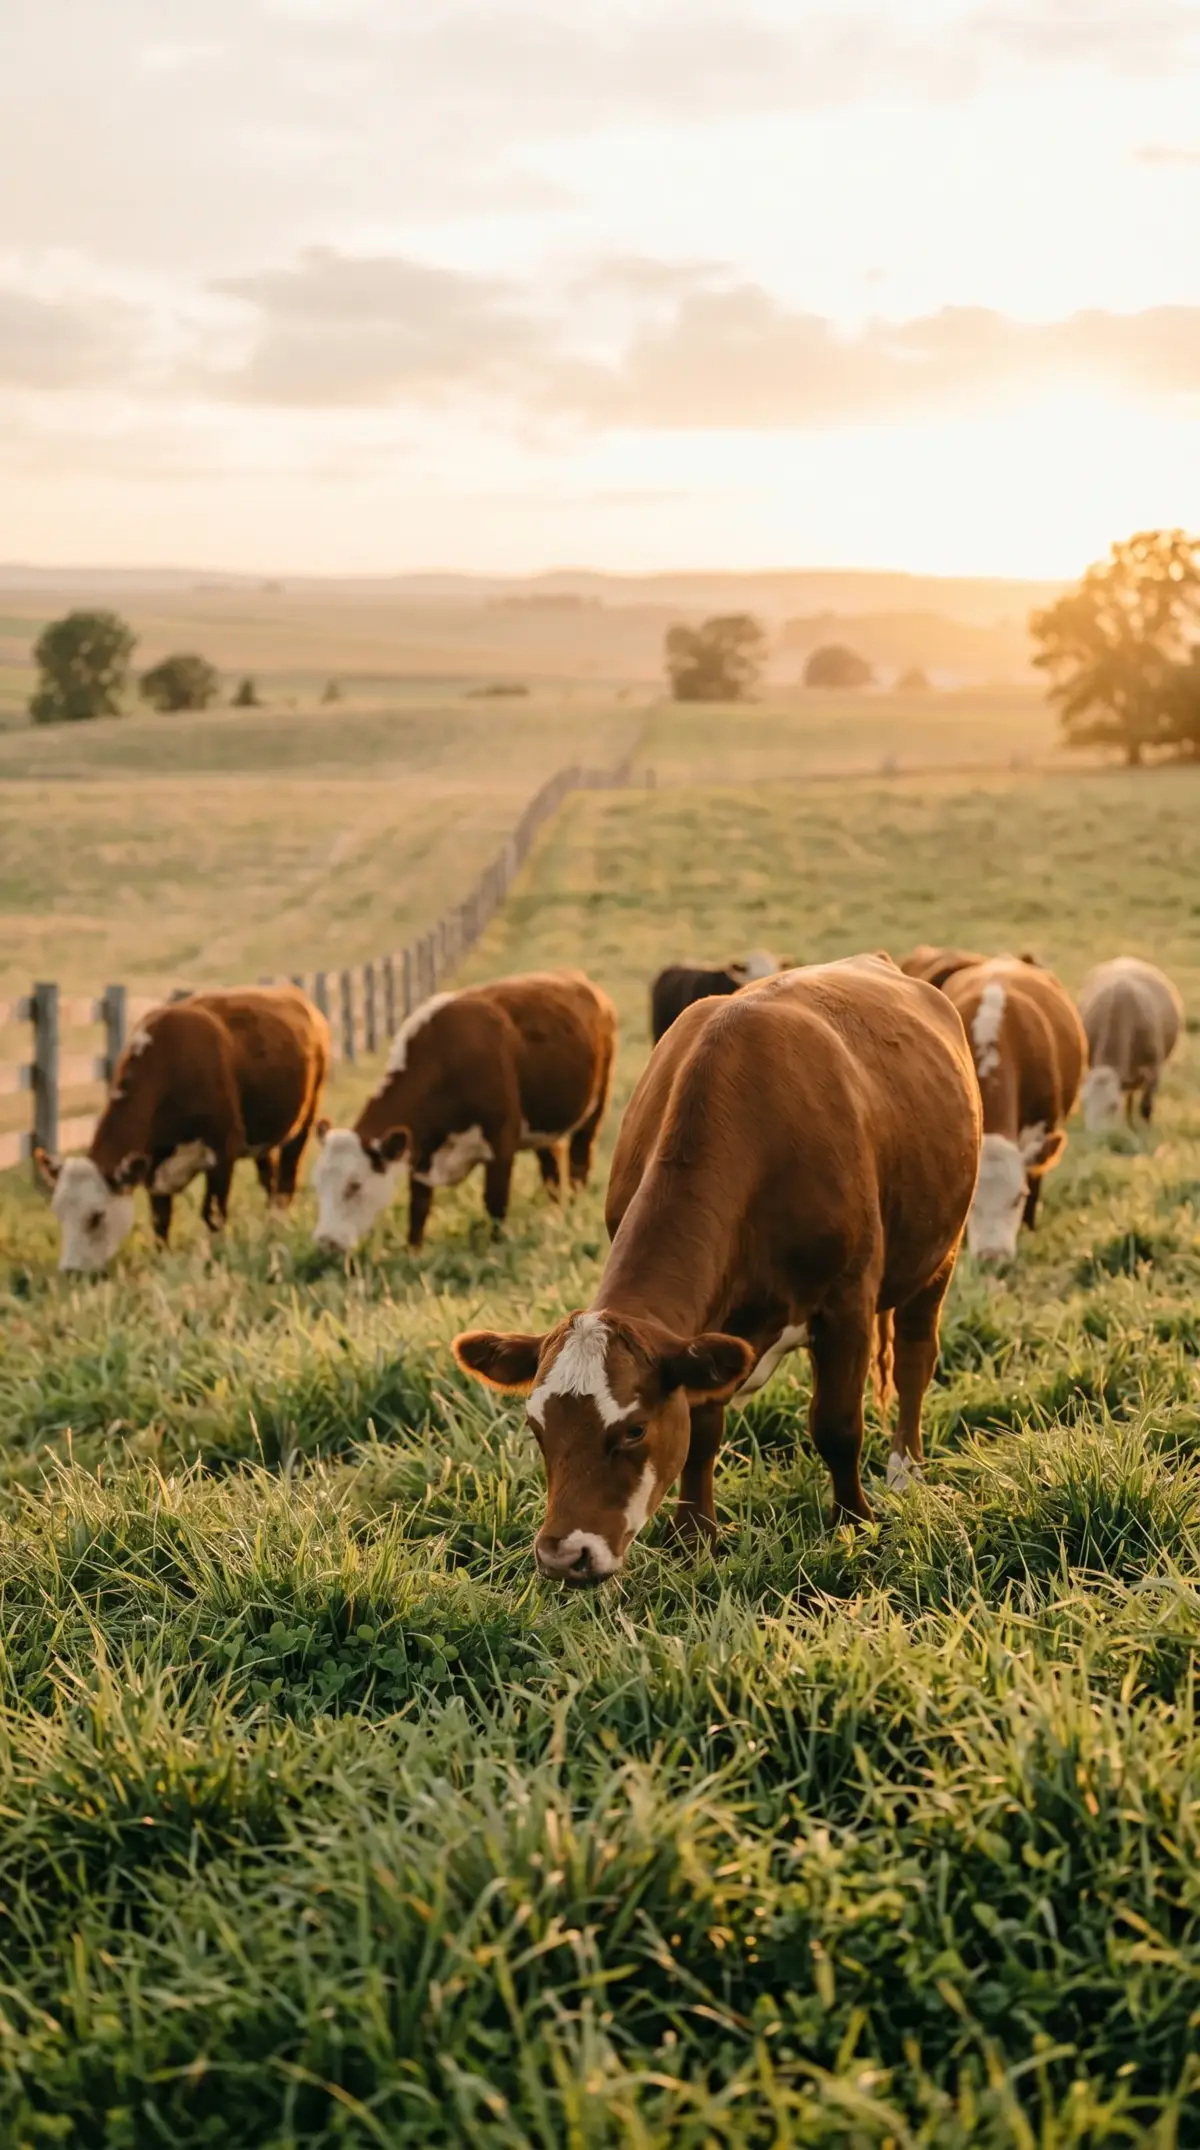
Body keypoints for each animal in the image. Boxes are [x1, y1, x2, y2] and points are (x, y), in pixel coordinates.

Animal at [34, 985, 329, 1272]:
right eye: (58, 1213)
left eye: (96, 1216)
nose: (71, 1271)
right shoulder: (152, 1167)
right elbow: (160, 1220)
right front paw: (163, 1260)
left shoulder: (223, 1150)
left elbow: (212, 1213)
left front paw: (217, 1254)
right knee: (269, 1178)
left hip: (305, 1119)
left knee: (286, 1181)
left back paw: (279, 1224)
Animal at [311, 970, 617, 1254]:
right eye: (318, 1183)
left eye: (354, 1185)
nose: (326, 1241)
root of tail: (580, 979)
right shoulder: (419, 1154)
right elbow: (418, 1210)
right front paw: (413, 1252)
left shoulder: (501, 1145)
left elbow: (495, 1204)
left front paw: (496, 1248)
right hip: (543, 1124)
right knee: (551, 1167)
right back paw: (555, 1214)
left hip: (595, 1110)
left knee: (579, 1162)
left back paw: (573, 1210)